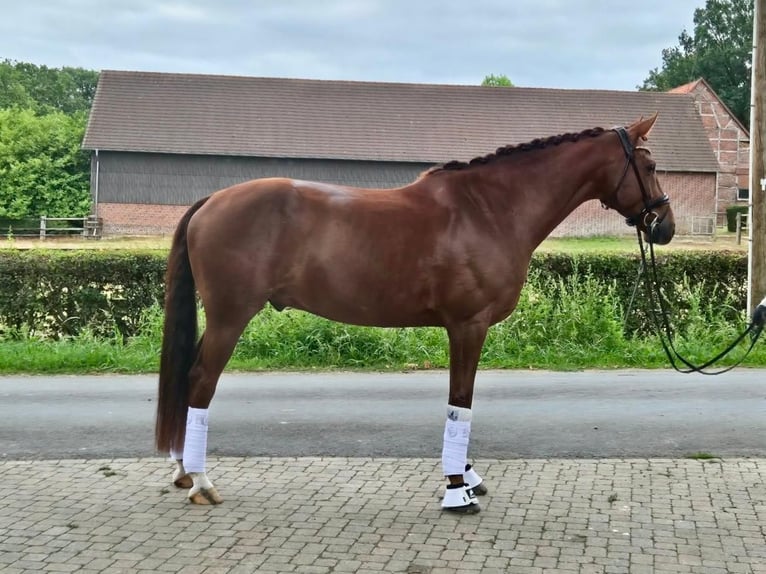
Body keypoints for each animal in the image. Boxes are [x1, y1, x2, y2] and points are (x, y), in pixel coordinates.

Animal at [155, 114, 675, 512]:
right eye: (649, 164)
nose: (664, 226)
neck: (489, 210)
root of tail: (211, 201)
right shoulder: (468, 325)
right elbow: (460, 403)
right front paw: (458, 490)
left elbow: (459, 402)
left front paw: (467, 475)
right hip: (230, 317)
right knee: (201, 381)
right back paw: (202, 482)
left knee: (188, 377)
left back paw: (184, 471)